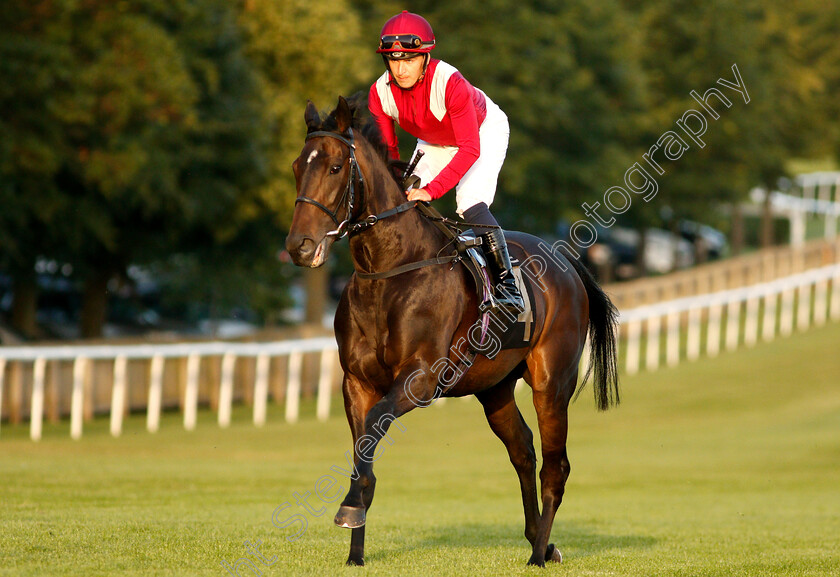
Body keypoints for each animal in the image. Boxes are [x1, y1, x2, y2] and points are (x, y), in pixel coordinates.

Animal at [286, 95, 620, 568]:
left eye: (335, 167)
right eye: (299, 166)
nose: (299, 246)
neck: (388, 270)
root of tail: (566, 263)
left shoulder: (420, 379)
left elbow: (374, 428)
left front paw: (351, 508)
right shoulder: (356, 382)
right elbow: (363, 444)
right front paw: (356, 546)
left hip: (551, 384)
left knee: (555, 467)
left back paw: (538, 554)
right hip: (494, 388)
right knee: (522, 450)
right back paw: (540, 539)